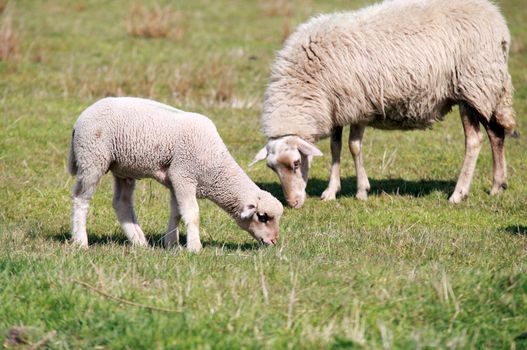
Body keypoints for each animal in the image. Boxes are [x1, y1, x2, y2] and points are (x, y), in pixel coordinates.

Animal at [71, 97, 284, 253]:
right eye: (263, 217)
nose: (274, 241)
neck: (215, 165)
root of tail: (81, 118)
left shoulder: (175, 180)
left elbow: (177, 213)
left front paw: (172, 244)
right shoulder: (184, 175)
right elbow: (192, 213)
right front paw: (194, 248)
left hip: (123, 169)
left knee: (121, 203)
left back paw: (139, 242)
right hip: (92, 158)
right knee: (81, 199)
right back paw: (81, 241)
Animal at [251, 0, 516, 208]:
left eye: (296, 163)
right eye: (272, 168)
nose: (293, 203)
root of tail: (497, 19)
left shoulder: (356, 105)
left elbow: (353, 146)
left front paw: (361, 191)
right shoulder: (335, 106)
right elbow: (336, 147)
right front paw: (330, 191)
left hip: (472, 86)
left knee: (475, 141)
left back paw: (458, 194)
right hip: (486, 90)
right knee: (496, 133)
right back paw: (497, 186)